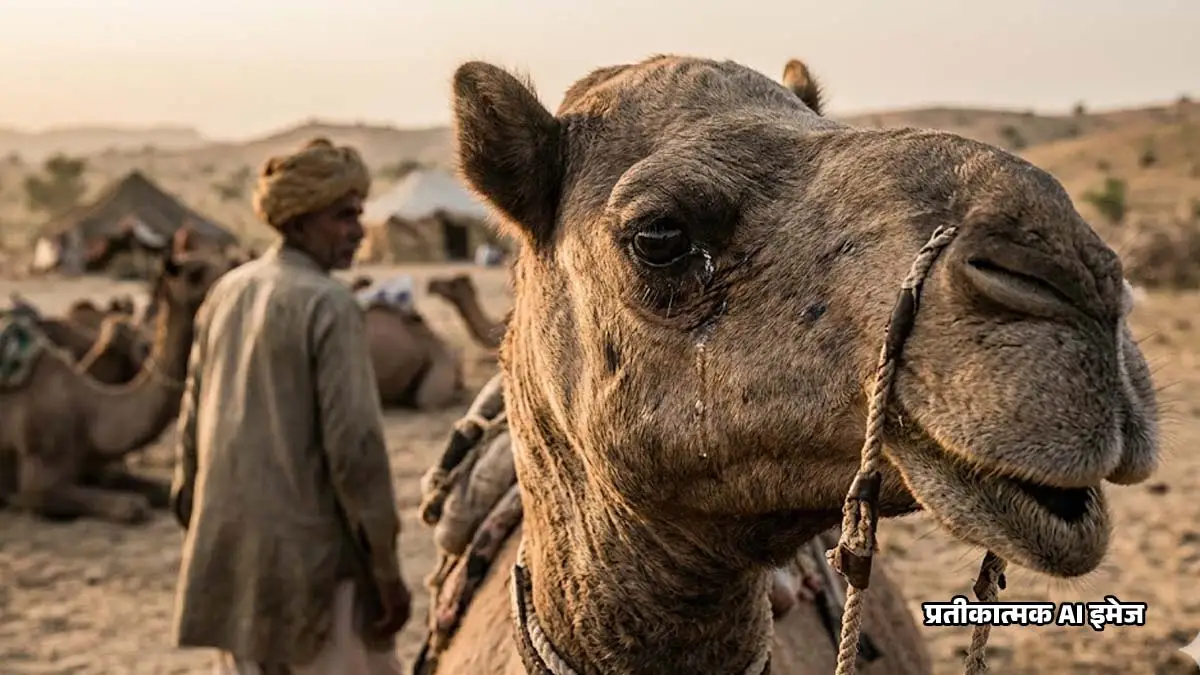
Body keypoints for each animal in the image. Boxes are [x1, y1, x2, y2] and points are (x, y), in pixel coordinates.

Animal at [0, 248, 231, 523]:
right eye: (195, 273)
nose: (231, 271)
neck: (90, 414)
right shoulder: (37, 481)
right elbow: (133, 506)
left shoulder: (97, 467)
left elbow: (157, 490)